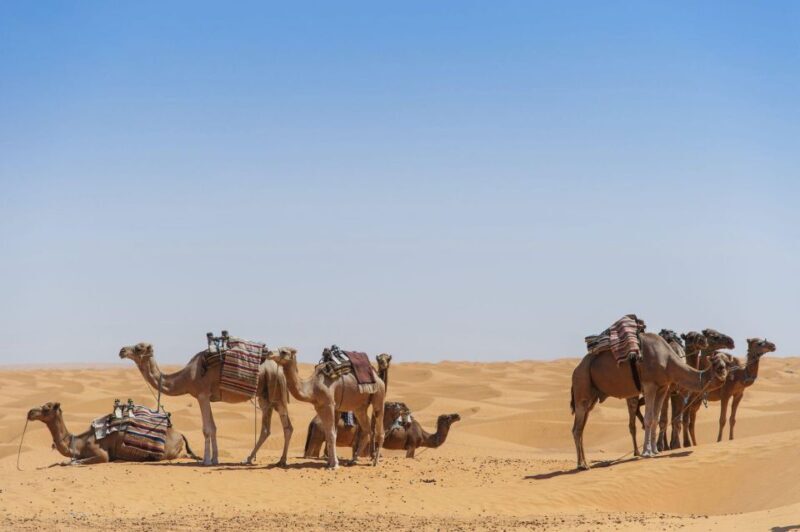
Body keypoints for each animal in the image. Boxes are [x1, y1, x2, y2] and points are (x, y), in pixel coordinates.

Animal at [26, 402, 199, 465]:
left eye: (46, 407)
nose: (30, 412)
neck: (79, 443)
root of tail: (180, 434)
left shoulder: (101, 454)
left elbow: (74, 462)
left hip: (168, 452)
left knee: (182, 455)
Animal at [119, 342, 292, 466]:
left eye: (139, 348)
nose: (122, 351)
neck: (186, 377)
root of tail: (279, 369)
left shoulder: (202, 395)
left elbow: (206, 429)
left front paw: (206, 460)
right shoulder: (207, 398)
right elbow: (214, 428)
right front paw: (215, 459)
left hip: (275, 393)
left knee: (277, 427)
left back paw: (260, 460)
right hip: (266, 396)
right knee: (279, 428)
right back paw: (271, 460)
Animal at [571, 332, 728, 470]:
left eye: (726, 363)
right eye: (716, 364)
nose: (723, 372)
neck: (667, 359)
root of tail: (576, 369)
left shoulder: (663, 387)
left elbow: (655, 419)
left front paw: (655, 450)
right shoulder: (649, 385)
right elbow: (648, 418)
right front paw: (647, 452)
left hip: (592, 396)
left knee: (581, 427)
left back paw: (584, 462)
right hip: (582, 383)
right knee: (577, 428)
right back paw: (582, 465)